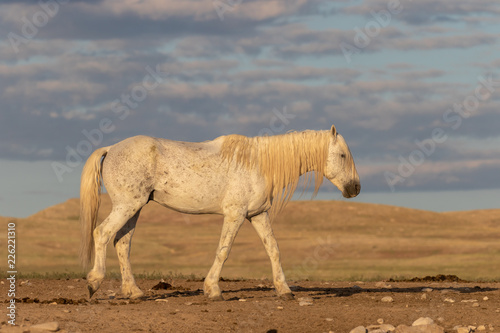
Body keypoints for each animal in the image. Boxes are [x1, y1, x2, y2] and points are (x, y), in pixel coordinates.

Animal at [79, 123, 360, 300]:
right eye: (343, 155)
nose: (355, 188)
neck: (258, 164)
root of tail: (111, 148)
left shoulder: (257, 215)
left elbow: (273, 249)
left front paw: (285, 290)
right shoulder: (235, 215)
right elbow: (224, 250)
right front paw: (213, 289)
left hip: (134, 208)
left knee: (122, 243)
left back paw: (134, 292)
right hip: (127, 206)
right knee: (102, 233)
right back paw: (94, 283)